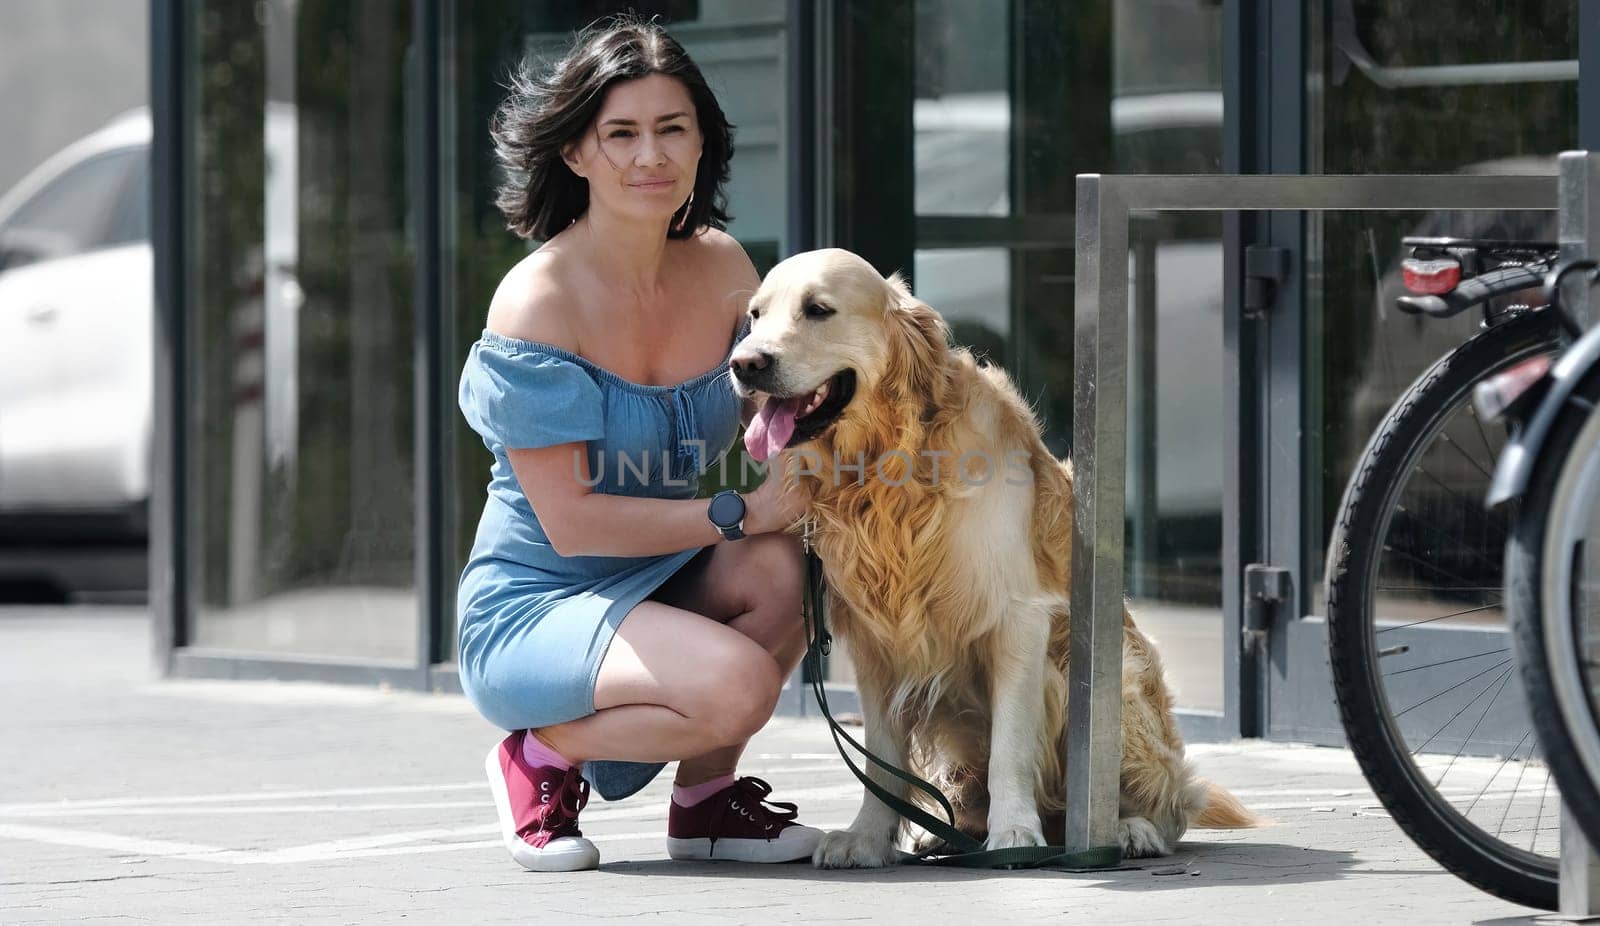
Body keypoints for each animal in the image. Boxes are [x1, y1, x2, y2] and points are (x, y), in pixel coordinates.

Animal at [732, 247, 1254, 870]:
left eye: (817, 309)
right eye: (756, 315)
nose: (744, 365)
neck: (891, 466)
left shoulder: (1017, 620)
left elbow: (1010, 746)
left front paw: (1015, 834)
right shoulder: (873, 641)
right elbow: (880, 757)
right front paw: (866, 836)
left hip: (1113, 682)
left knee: (1164, 805)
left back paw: (1126, 829)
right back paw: (946, 832)